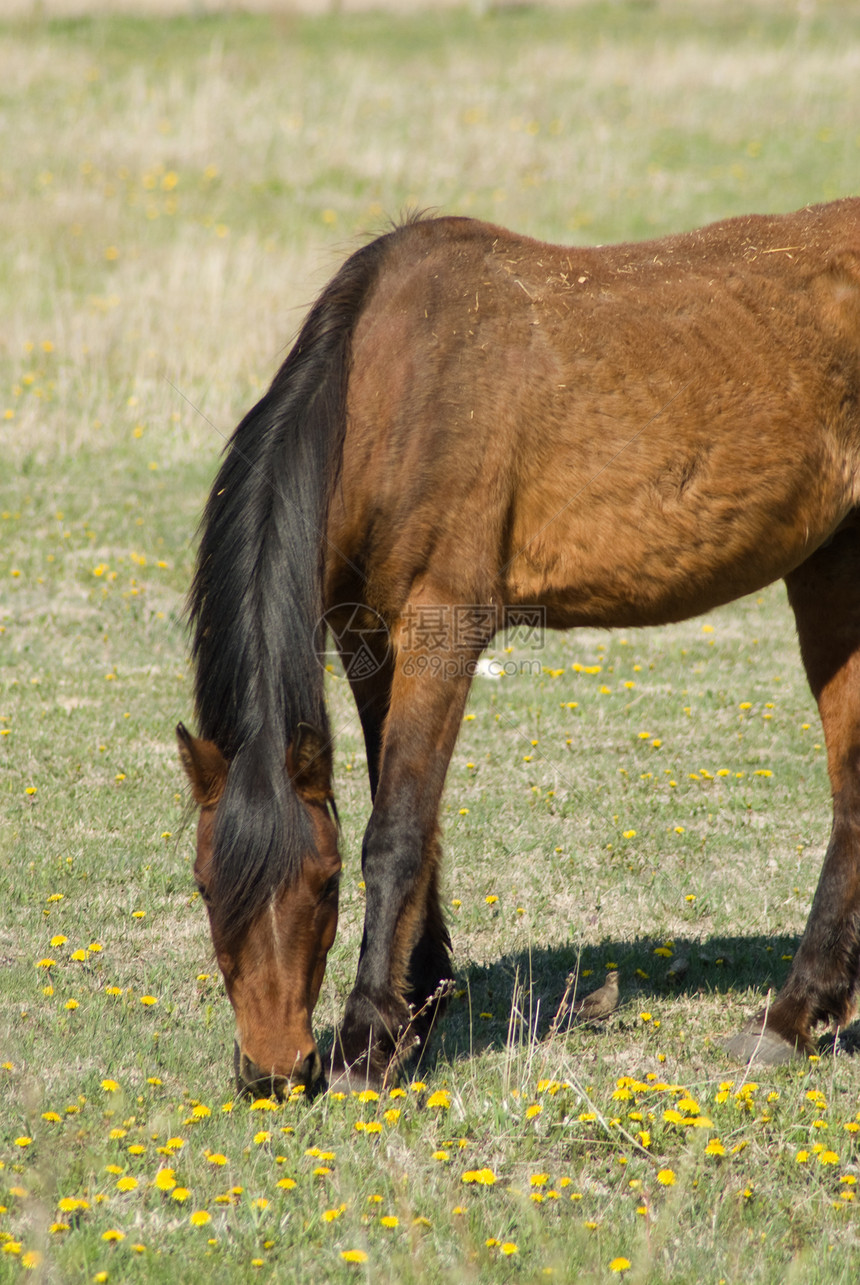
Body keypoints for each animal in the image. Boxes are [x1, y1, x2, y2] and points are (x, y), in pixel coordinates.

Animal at [179, 197, 858, 1094]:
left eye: (324, 884)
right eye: (202, 883)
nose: (274, 1070)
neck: (392, 391)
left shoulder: (443, 625)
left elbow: (395, 832)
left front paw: (366, 1042)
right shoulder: (367, 638)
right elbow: (413, 818)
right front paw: (418, 1002)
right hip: (831, 565)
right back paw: (795, 1013)